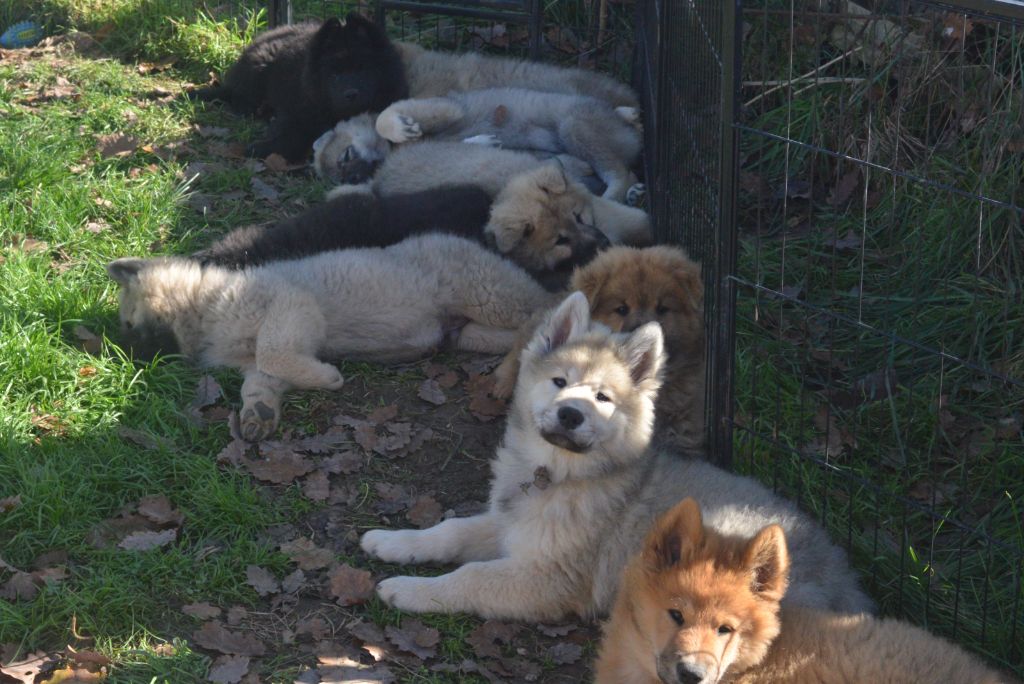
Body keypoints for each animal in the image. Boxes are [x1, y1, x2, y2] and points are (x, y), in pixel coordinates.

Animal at [106, 234, 556, 442]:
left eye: (128, 324)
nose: (127, 362)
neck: (206, 305)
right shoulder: (261, 359)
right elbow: (260, 380)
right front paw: (258, 414)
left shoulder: (292, 308)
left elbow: (273, 354)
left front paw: (327, 378)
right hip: (471, 325)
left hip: (484, 293)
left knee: (545, 307)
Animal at [193, 14, 406, 161]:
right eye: (334, 76)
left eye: (364, 70)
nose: (351, 94)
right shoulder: (297, 110)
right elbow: (291, 135)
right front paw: (261, 147)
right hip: (257, 67)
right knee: (238, 97)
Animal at [360, 293, 871, 621]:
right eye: (560, 382)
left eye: (603, 398)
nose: (570, 414)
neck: (559, 475)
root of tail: (853, 593)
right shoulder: (512, 527)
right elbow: (450, 531)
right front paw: (394, 542)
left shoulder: (547, 576)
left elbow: (469, 578)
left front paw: (409, 590)